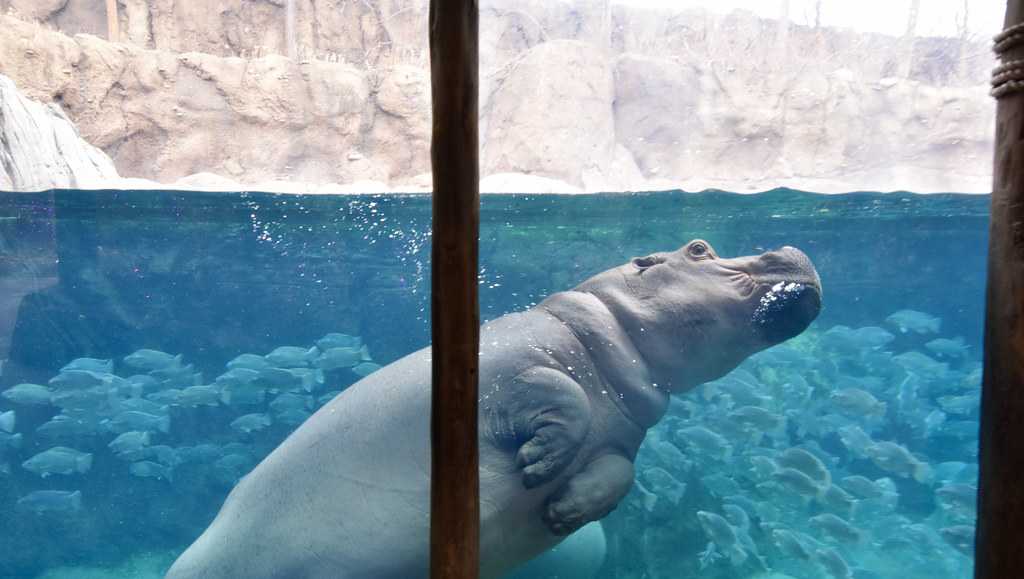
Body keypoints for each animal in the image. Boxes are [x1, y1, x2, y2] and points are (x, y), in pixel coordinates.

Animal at [165, 240, 821, 579]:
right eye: (698, 249)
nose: (794, 247)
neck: (602, 330)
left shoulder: (623, 436)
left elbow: (618, 472)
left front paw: (561, 508)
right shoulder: (519, 373)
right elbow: (565, 395)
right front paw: (538, 463)